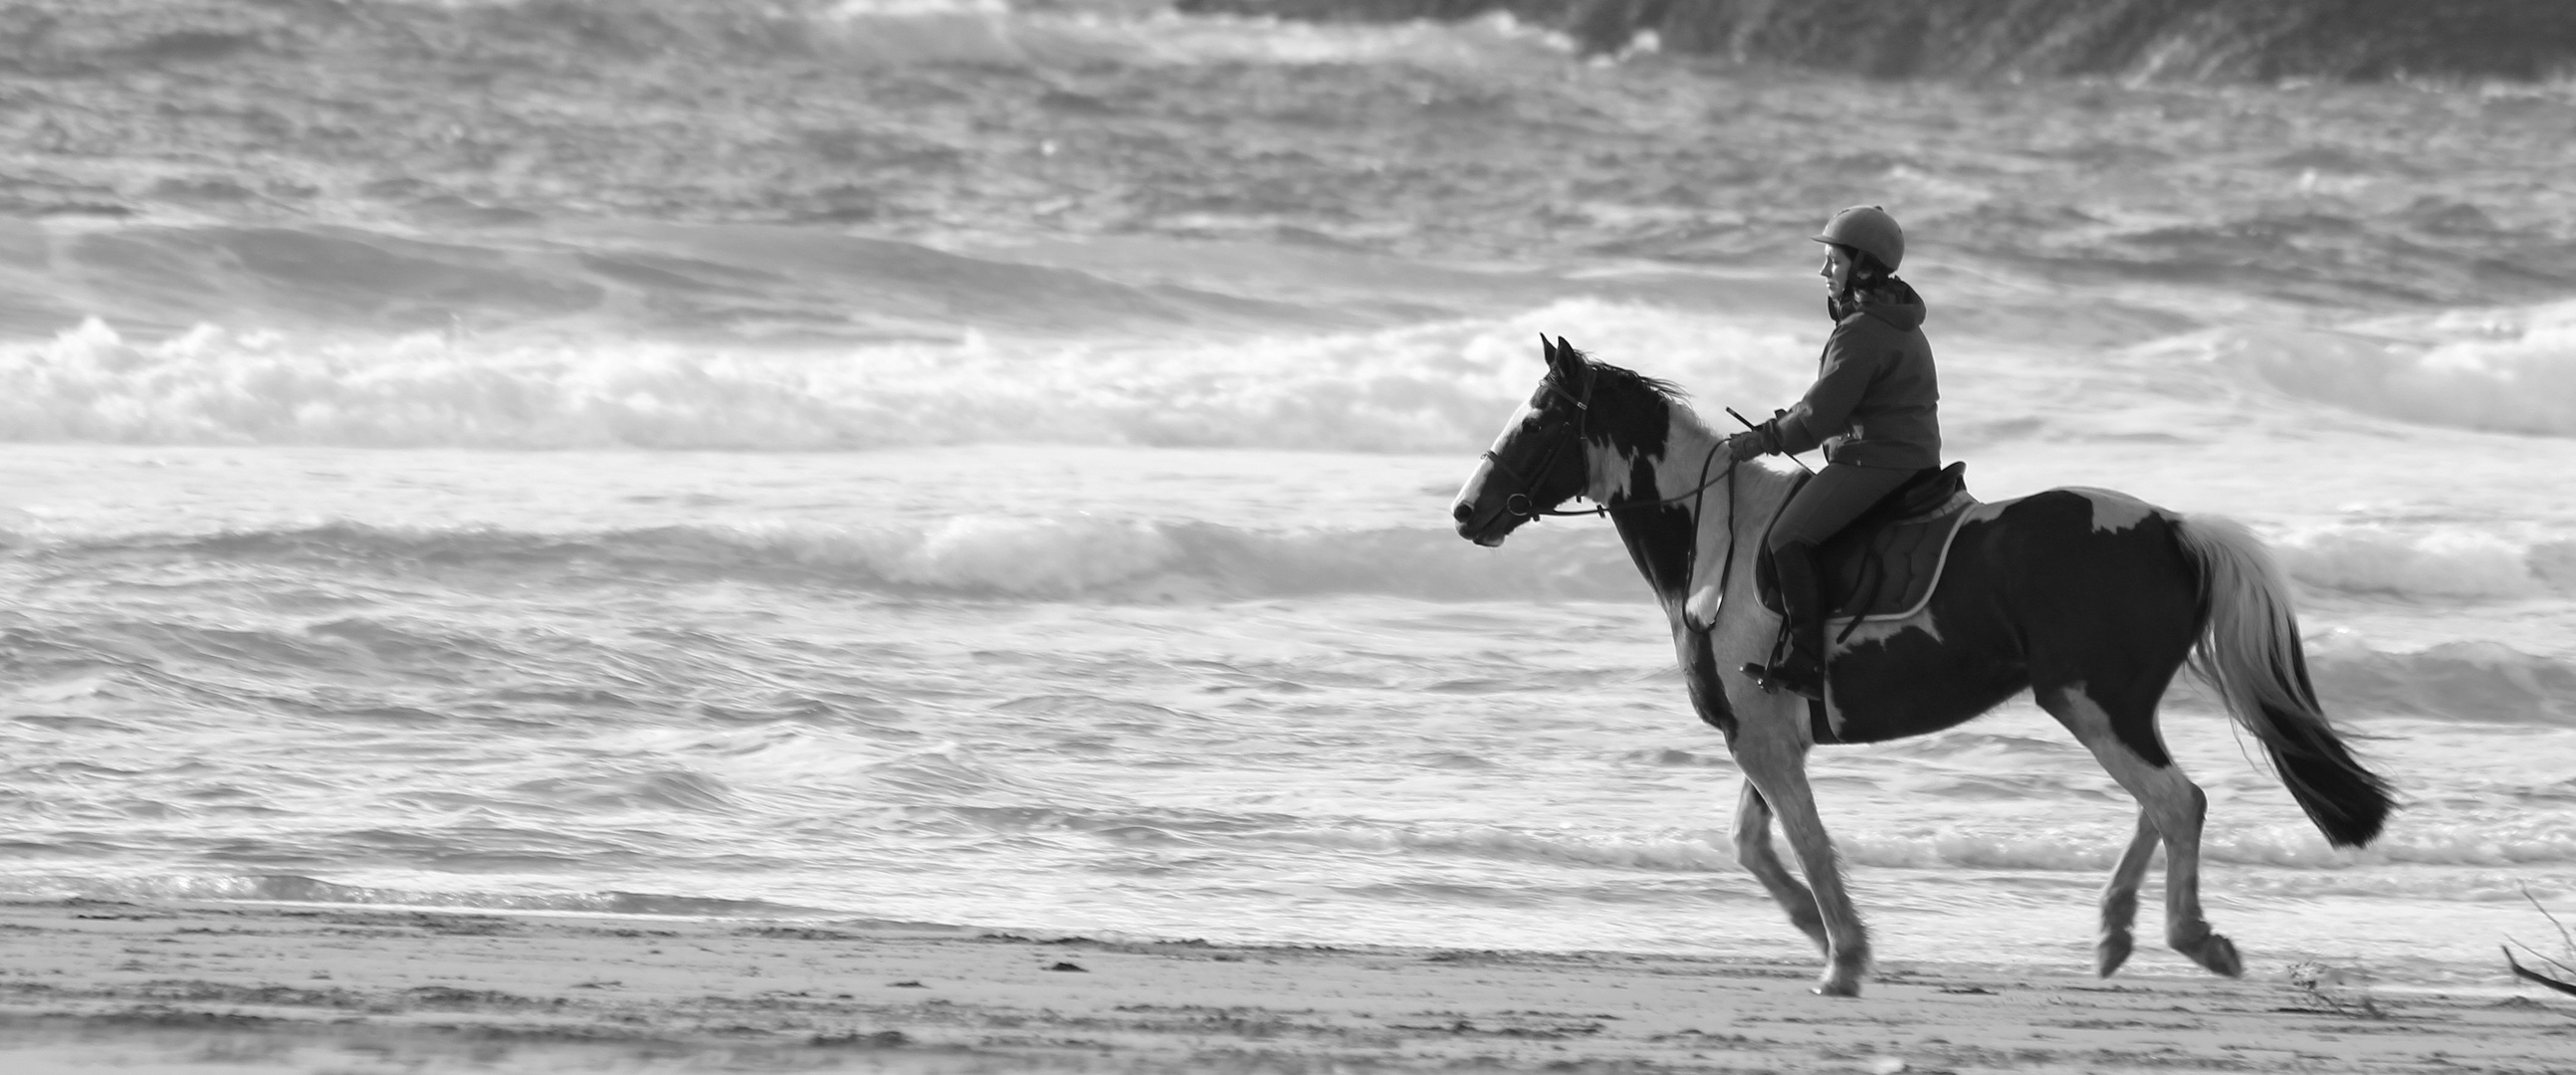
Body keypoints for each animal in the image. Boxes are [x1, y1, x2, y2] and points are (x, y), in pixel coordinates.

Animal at [1452, 337, 2390, 994]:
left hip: (2088, 702)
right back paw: (2117, 933)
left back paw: (2190, 938)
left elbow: (1806, 841)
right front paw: (1818, 931)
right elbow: (1754, 844)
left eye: (1535, 421)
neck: (1713, 538)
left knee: (2175, 801)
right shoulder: (1759, 733)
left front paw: (1843, 959)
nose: (1466, 512)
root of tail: (2170, 525)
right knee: (2161, 804)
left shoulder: (1763, 739)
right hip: (2107, 705)